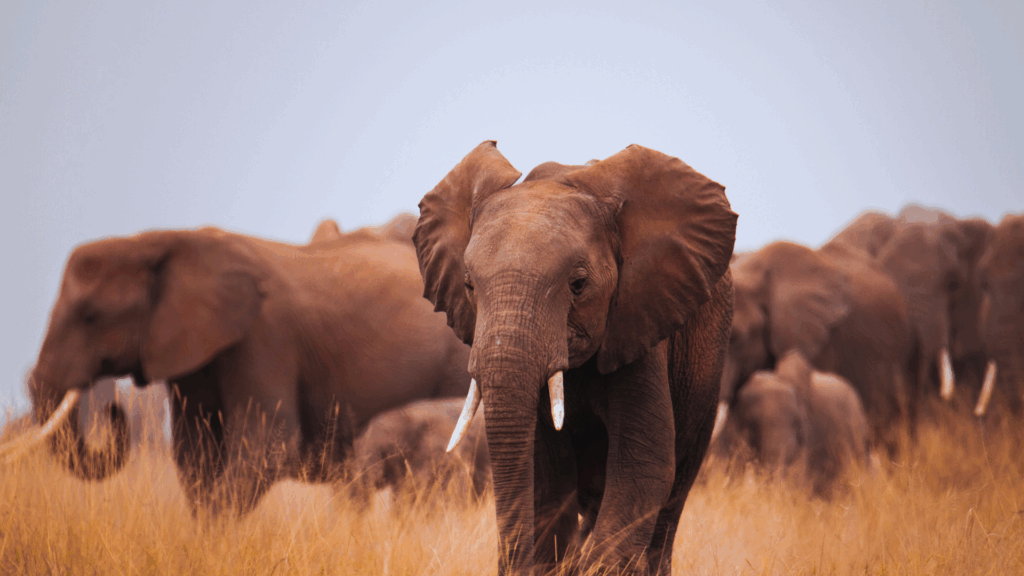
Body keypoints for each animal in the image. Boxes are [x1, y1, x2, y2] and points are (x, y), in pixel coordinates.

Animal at [3, 225, 472, 515]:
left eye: (91, 317)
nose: (113, 411)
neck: (162, 241)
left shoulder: (265, 337)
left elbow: (267, 444)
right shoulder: (194, 352)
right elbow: (195, 455)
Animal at [413, 141, 737, 575]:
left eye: (579, 285)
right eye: (468, 286)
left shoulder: (640, 325)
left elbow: (642, 464)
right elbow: (547, 474)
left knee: (670, 502)